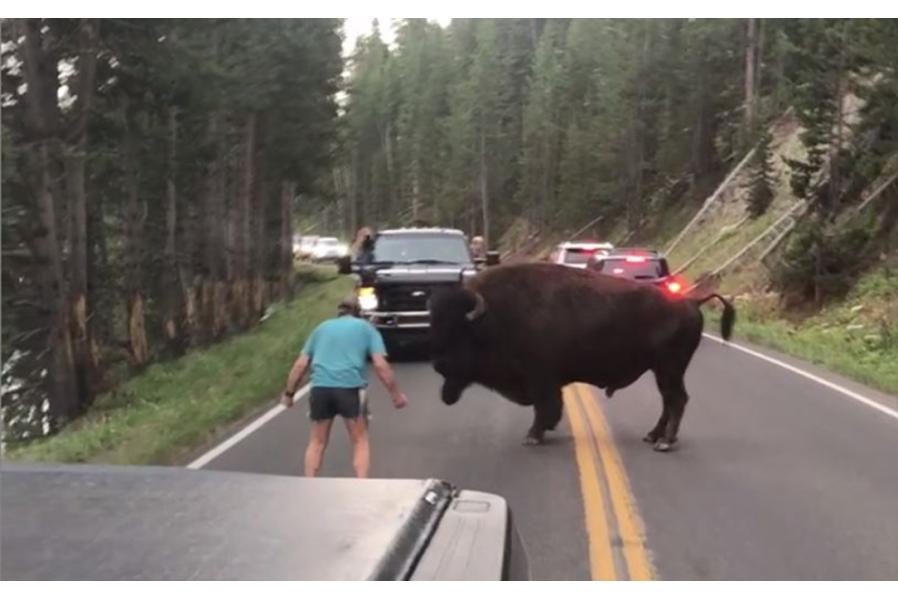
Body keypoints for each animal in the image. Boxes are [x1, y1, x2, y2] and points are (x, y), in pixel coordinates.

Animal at [428, 262, 735, 451]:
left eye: (461, 332)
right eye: (436, 326)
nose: (439, 365)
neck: (494, 316)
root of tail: (691, 301)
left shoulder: (541, 379)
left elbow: (544, 407)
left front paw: (533, 436)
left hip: (669, 368)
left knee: (677, 400)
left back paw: (665, 442)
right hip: (663, 370)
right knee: (669, 401)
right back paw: (652, 436)